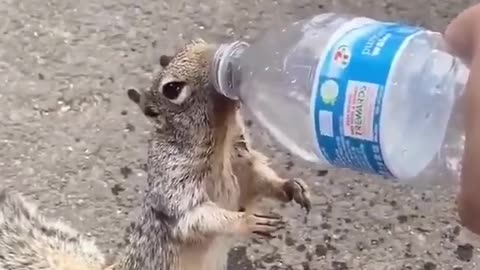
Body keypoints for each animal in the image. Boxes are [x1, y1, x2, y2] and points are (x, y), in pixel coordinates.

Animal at [0, 38, 312, 270]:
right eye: (172, 89)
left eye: (195, 41)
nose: (219, 54)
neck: (220, 145)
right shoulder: (175, 184)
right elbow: (195, 217)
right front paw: (246, 222)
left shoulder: (242, 163)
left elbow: (259, 181)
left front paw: (291, 187)